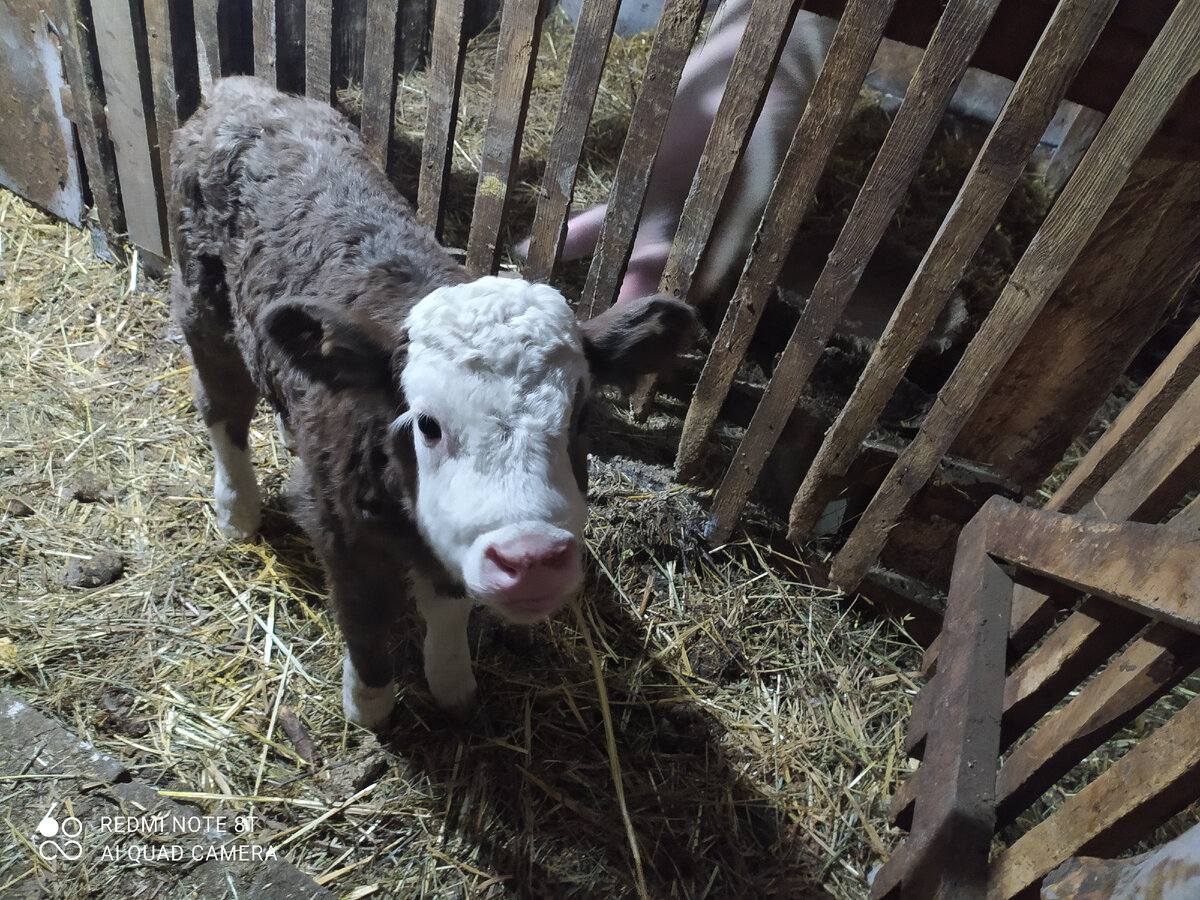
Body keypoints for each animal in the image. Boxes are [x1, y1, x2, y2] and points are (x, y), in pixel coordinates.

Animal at [171, 75, 696, 724]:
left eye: (581, 417)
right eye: (426, 425)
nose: (531, 560)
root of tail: (241, 90)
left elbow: (449, 604)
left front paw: (451, 682)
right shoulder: (339, 526)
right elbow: (366, 617)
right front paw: (369, 703)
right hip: (203, 303)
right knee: (222, 406)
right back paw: (237, 510)